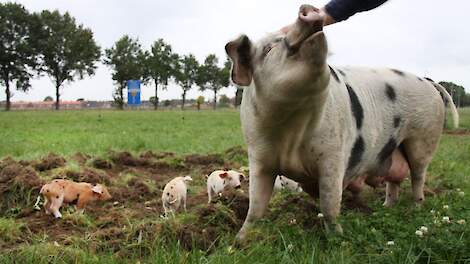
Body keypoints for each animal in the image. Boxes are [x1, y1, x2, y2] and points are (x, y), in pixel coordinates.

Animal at [226, 4, 458, 243]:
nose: (307, 8)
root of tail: (428, 82)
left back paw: (415, 209)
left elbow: (329, 204)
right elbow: (255, 207)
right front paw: (239, 241)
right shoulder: (259, 157)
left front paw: (338, 238)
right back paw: (386, 207)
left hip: (424, 138)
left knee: (418, 177)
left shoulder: (333, 156)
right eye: (268, 49)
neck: (291, 132)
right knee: (394, 180)